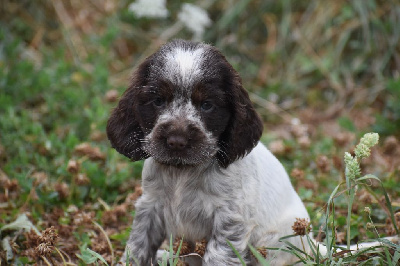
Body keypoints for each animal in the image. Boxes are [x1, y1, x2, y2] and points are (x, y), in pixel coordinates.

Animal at [106, 39, 310, 266]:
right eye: (158, 101)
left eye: (207, 105)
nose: (176, 141)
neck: (182, 172)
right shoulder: (150, 204)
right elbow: (138, 243)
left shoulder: (230, 218)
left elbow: (218, 255)